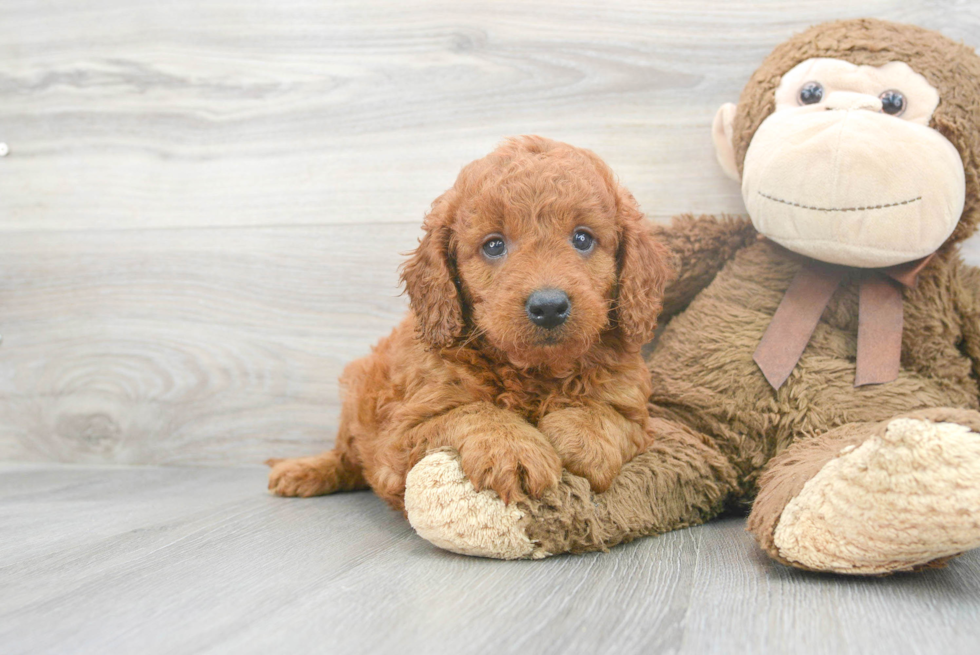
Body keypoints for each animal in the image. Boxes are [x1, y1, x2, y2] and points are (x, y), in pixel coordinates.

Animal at [268, 135, 672, 512]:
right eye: (494, 245)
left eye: (583, 238)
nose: (549, 306)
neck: (533, 372)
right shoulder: (400, 435)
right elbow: (472, 411)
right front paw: (513, 449)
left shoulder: (639, 413)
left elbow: (607, 414)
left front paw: (581, 439)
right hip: (356, 393)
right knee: (345, 456)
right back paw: (302, 471)